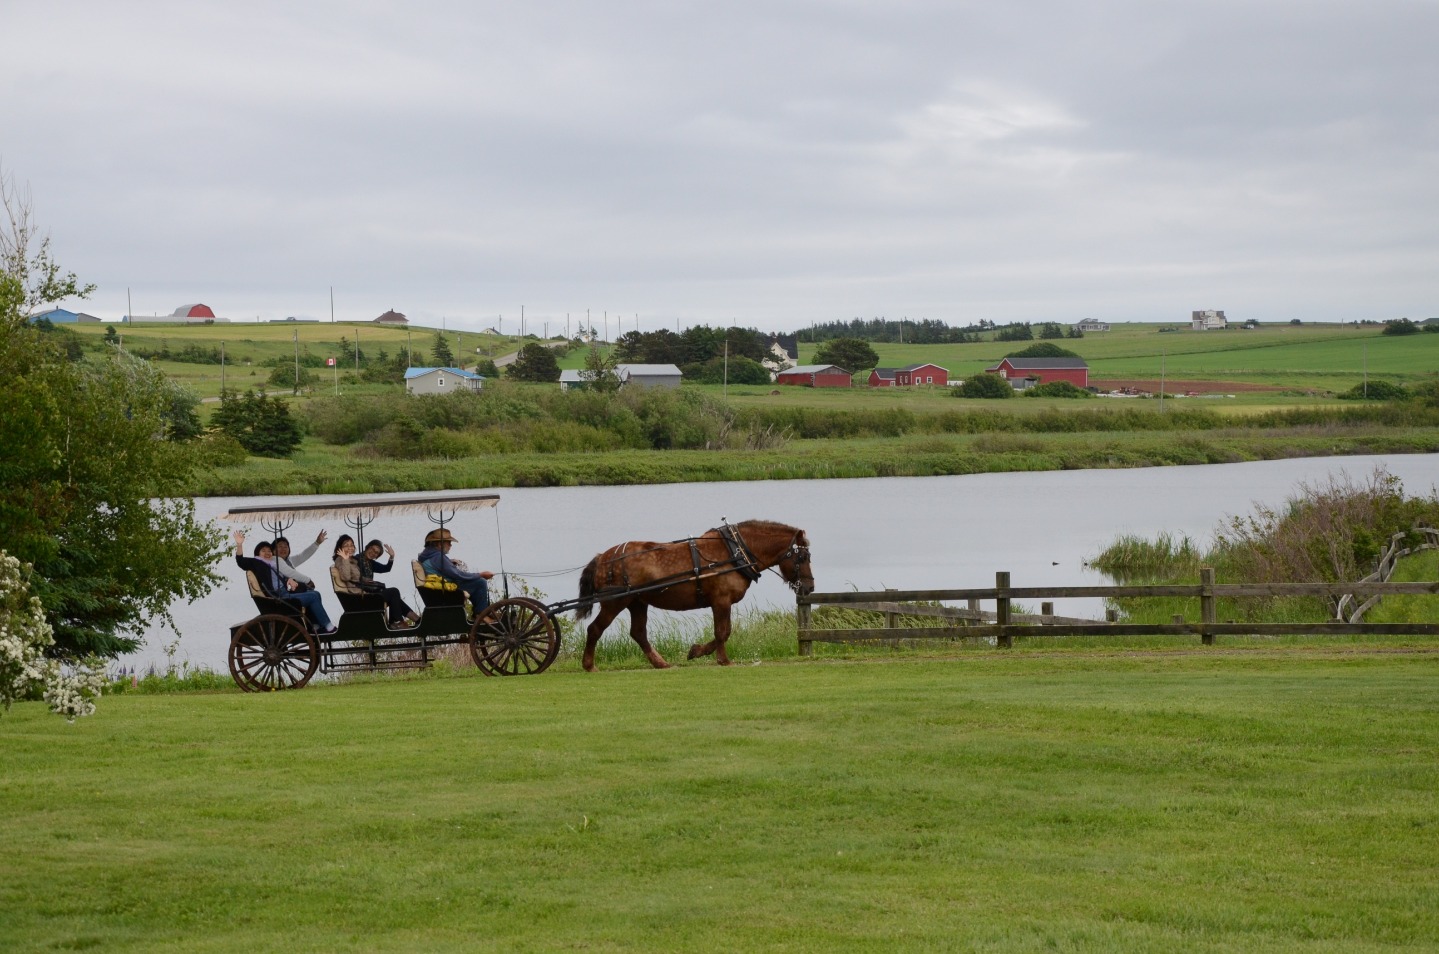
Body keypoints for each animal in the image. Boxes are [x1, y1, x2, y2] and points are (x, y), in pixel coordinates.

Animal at [572, 523, 811, 670]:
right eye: (803, 557)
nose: (810, 587)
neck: (734, 552)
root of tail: (603, 558)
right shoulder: (721, 601)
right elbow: (722, 632)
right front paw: (723, 660)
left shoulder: (723, 603)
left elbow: (725, 632)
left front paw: (696, 651)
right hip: (614, 602)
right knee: (595, 629)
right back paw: (589, 665)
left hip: (637, 602)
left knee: (638, 633)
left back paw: (660, 663)